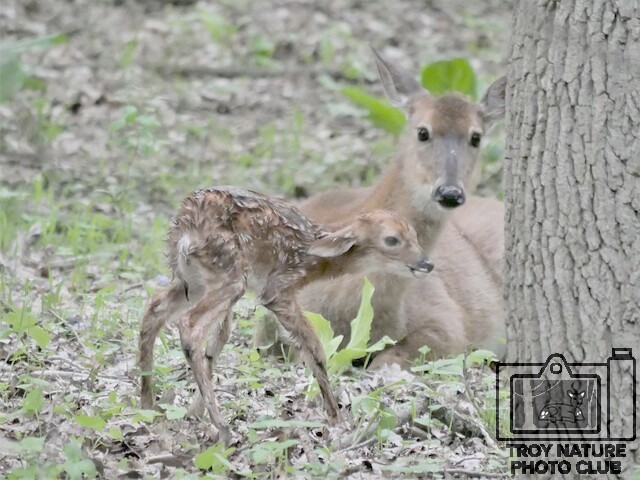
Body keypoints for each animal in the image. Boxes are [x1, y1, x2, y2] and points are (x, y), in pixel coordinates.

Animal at [138, 186, 433, 441]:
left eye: (415, 236)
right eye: (392, 240)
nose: (426, 263)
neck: (314, 258)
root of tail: (187, 224)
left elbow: (219, 340)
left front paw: (193, 412)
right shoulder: (278, 289)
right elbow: (314, 348)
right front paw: (335, 417)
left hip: (193, 279)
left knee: (154, 309)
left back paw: (148, 404)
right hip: (228, 273)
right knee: (189, 324)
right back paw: (220, 425)